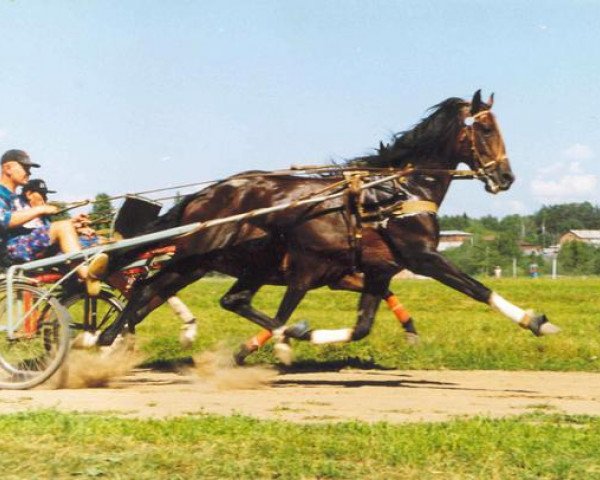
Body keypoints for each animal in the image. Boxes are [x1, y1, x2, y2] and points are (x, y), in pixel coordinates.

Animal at [96, 91, 560, 352]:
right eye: (485, 129)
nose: (506, 177)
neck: (397, 192)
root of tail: (205, 195)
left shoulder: (377, 269)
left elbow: (363, 326)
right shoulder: (421, 257)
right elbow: (477, 288)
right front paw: (535, 321)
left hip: (208, 264)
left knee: (161, 294)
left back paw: (107, 341)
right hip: (225, 261)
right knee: (153, 292)